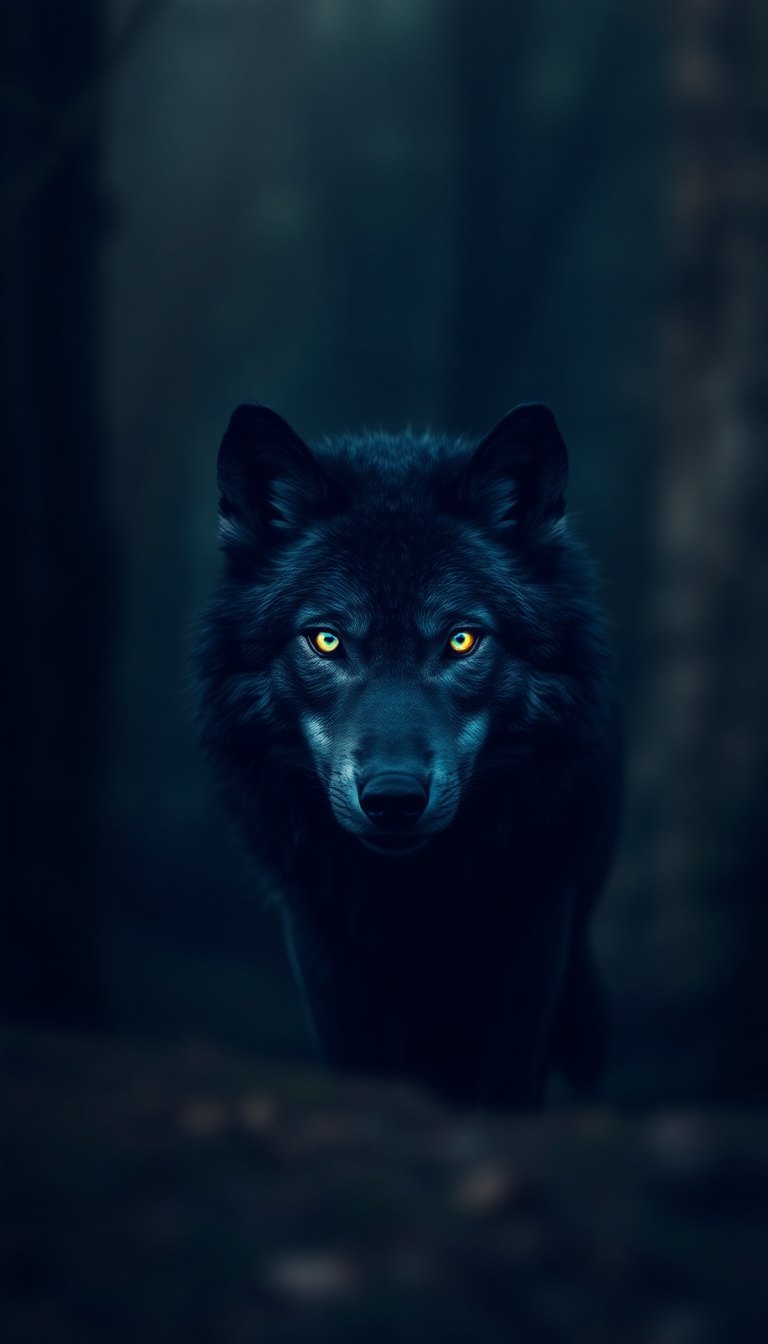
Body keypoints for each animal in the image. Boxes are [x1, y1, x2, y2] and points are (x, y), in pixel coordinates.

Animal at [195, 401, 621, 1109]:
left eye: (461, 639)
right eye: (327, 640)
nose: (393, 797)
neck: (413, 891)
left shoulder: (537, 939)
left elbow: (507, 1085)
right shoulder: (322, 948)